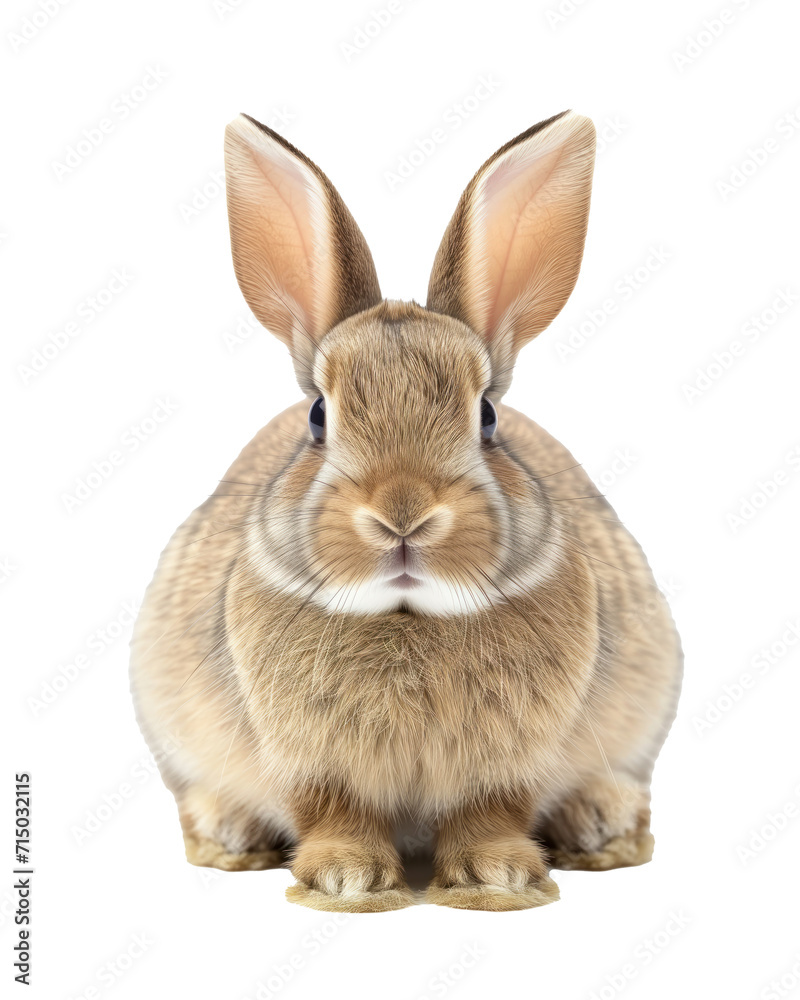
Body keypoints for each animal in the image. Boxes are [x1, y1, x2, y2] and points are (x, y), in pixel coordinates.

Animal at [129, 109, 682, 912]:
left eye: (487, 418)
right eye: (318, 418)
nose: (403, 514)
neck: (407, 614)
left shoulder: (507, 766)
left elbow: (489, 813)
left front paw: (496, 879)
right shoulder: (313, 765)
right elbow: (334, 812)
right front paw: (347, 881)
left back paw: (599, 828)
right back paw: (231, 835)